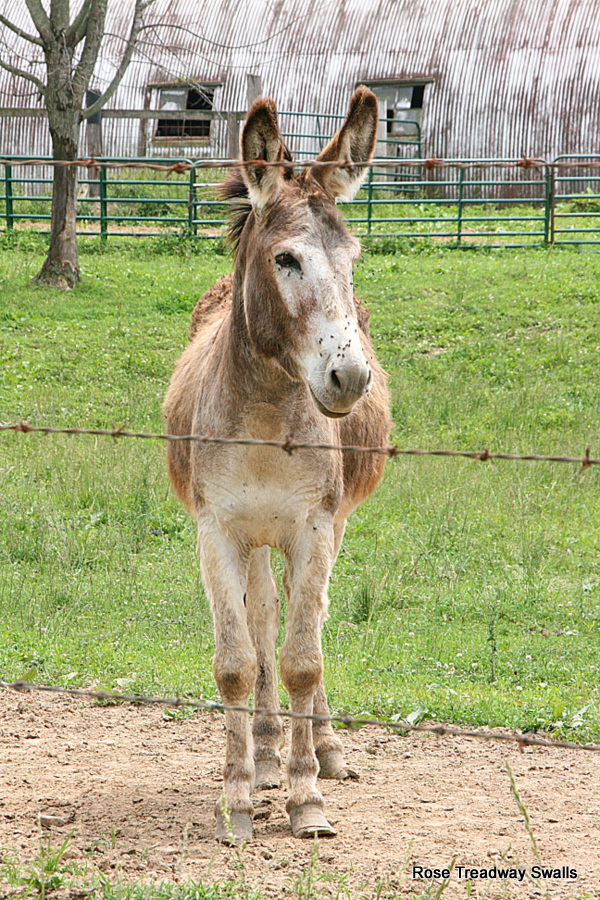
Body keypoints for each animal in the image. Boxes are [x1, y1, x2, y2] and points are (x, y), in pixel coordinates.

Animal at [163, 86, 391, 844]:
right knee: (264, 613)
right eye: (286, 260)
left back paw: (321, 749)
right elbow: (238, 662)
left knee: (303, 614)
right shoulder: (216, 532)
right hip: (255, 537)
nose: (350, 379)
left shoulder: (314, 527)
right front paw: (237, 800)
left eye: (351, 259)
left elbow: (301, 657)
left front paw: (307, 798)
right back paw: (264, 754)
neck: (265, 417)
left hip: (324, 527)